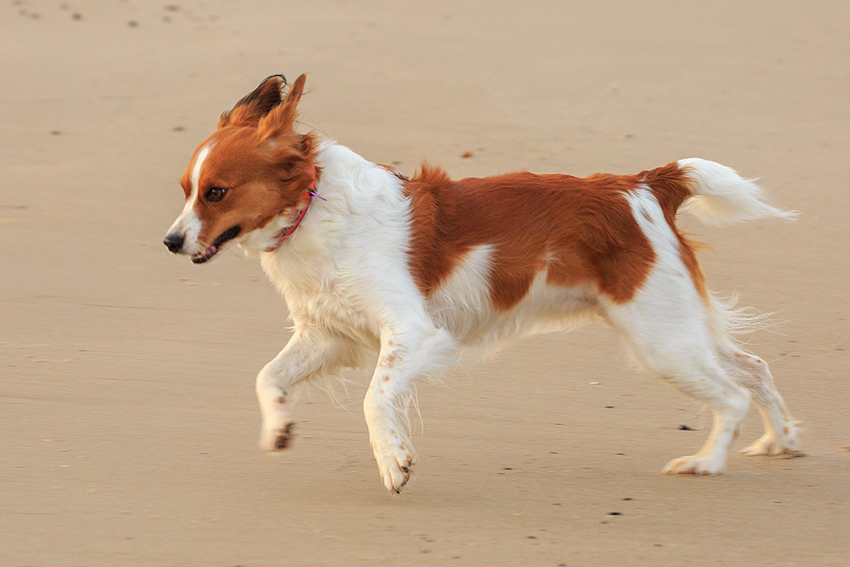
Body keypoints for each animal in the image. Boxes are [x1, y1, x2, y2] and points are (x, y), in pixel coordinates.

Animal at [162, 74, 800, 492]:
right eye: (186, 190)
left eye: (216, 192)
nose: (169, 242)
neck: (313, 208)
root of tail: (644, 184)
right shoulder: (329, 335)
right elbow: (267, 376)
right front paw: (279, 427)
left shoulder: (413, 335)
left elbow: (375, 398)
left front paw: (393, 461)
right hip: (676, 328)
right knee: (755, 369)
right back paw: (780, 440)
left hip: (661, 339)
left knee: (733, 392)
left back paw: (707, 462)